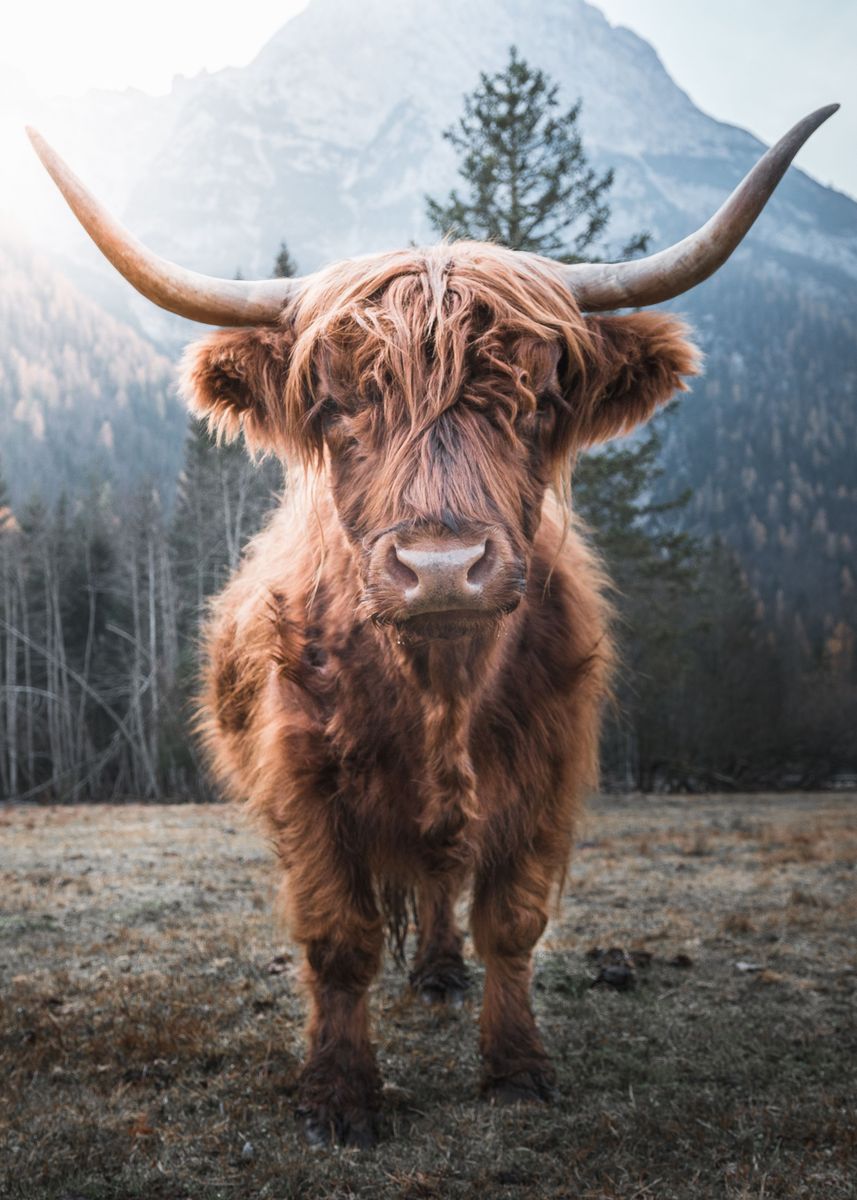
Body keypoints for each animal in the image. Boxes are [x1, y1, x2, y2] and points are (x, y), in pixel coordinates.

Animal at [28, 104, 836, 1147]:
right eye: (336, 404)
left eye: (538, 401)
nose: (443, 568)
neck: (440, 689)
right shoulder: (305, 782)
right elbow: (338, 938)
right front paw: (338, 1095)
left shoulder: (545, 773)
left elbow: (512, 923)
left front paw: (517, 1068)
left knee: (441, 881)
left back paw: (443, 973)